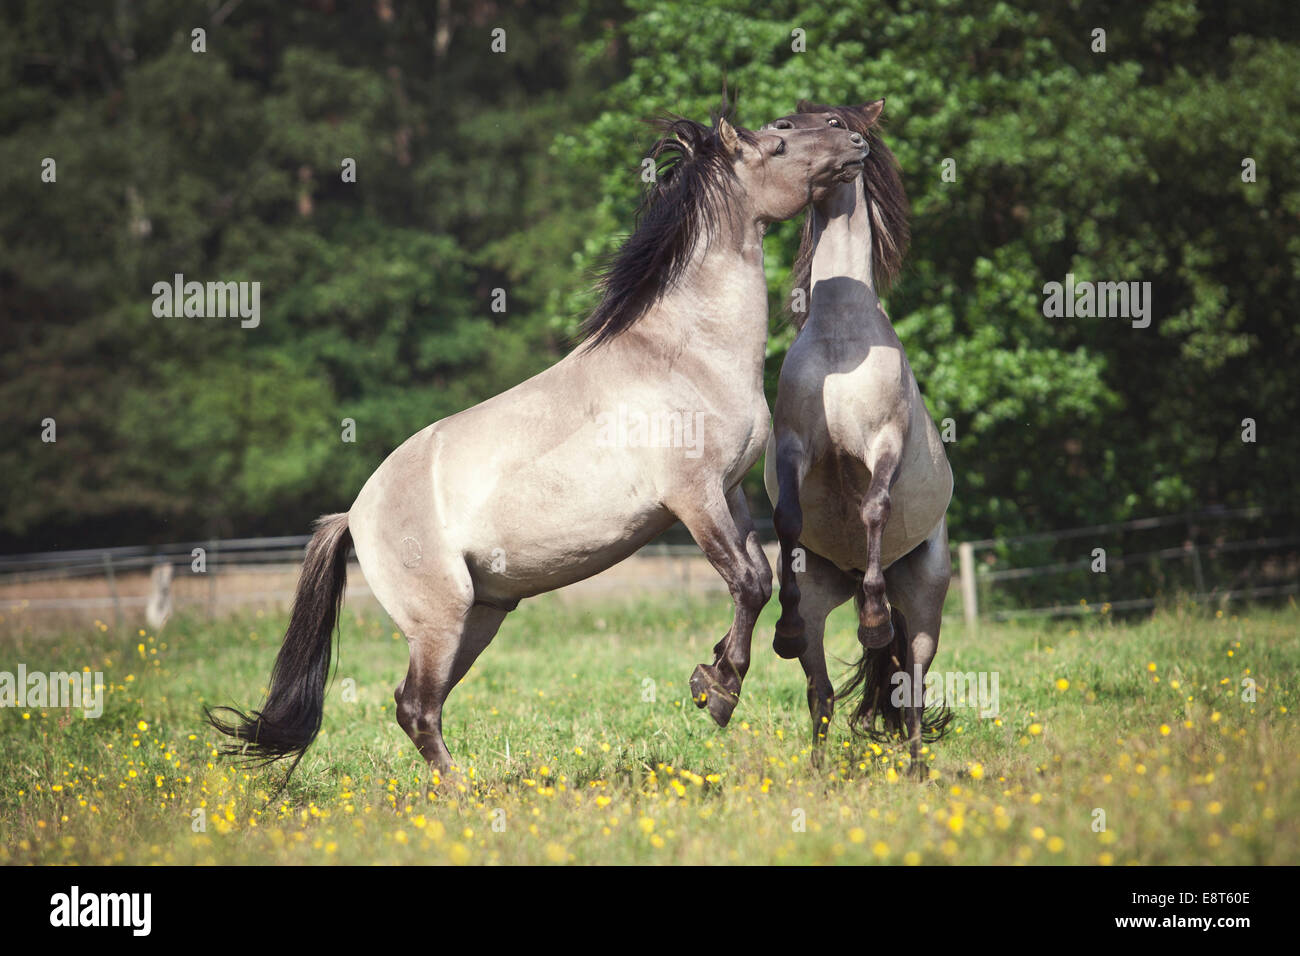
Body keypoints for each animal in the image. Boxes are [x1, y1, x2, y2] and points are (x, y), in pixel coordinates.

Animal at [208, 108, 868, 775]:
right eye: (779, 144)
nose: (855, 141)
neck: (684, 355)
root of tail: (355, 515)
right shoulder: (692, 498)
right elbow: (749, 582)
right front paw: (718, 689)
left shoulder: (727, 491)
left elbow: (754, 576)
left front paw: (717, 673)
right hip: (439, 622)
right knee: (416, 707)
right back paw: (463, 791)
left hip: (481, 617)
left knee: (418, 705)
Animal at [759, 100, 956, 764]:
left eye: (839, 126)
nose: (775, 131)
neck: (842, 340)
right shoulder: (795, 447)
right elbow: (787, 519)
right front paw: (784, 627)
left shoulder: (884, 442)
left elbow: (873, 507)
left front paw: (872, 620)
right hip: (824, 598)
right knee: (818, 692)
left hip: (924, 599)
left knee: (912, 688)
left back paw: (918, 771)